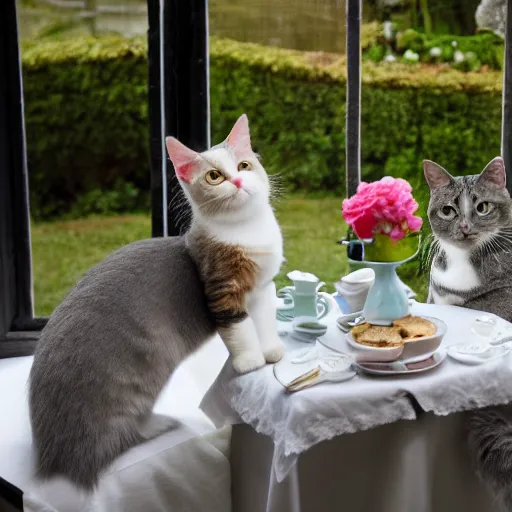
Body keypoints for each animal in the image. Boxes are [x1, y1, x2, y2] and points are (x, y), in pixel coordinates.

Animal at [29, 114, 284, 490]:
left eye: (243, 165)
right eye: (214, 176)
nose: (237, 180)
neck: (245, 232)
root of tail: (55, 458)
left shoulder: (264, 289)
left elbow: (264, 321)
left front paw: (271, 353)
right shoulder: (221, 290)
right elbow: (239, 328)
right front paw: (250, 362)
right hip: (145, 369)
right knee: (122, 436)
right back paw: (161, 424)